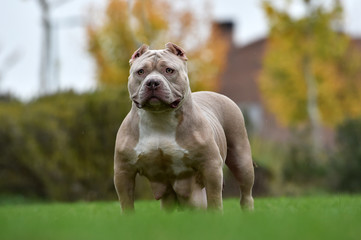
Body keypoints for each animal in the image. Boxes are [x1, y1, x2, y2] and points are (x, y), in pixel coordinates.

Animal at [113, 43, 253, 212]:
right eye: (140, 72)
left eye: (169, 70)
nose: (152, 82)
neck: (159, 116)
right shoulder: (123, 171)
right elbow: (126, 204)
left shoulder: (211, 166)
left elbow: (214, 200)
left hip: (241, 159)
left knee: (246, 192)